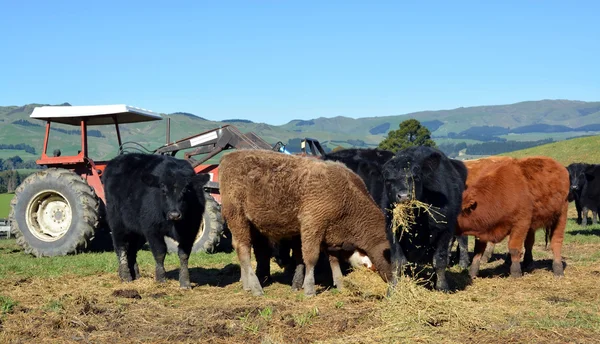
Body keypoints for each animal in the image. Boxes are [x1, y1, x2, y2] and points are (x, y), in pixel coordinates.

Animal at [101, 153, 209, 288]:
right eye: (163, 191)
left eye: (186, 190)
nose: (174, 214)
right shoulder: (152, 229)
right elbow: (160, 252)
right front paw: (160, 278)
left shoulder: (190, 230)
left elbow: (184, 254)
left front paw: (185, 282)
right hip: (117, 222)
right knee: (121, 246)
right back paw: (125, 275)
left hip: (136, 228)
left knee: (132, 249)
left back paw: (135, 274)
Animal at [218, 149, 392, 296]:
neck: (347, 197)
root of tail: (228, 157)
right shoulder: (313, 226)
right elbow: (310, 257)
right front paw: (309, 288)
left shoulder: (330, 235)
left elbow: (333, 260)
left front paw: (340, 284)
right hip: (237, 218)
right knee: (244, 250)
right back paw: (255, 287)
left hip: (252, 225)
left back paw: (247, 284)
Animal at [382, 146, 466, 292]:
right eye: (388, 180)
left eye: (415, 177)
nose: (404, 196)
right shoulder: (392, 229)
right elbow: (398, 261)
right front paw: (393, 288)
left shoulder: (445, 229)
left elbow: (439, 260)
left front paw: (442, 287)